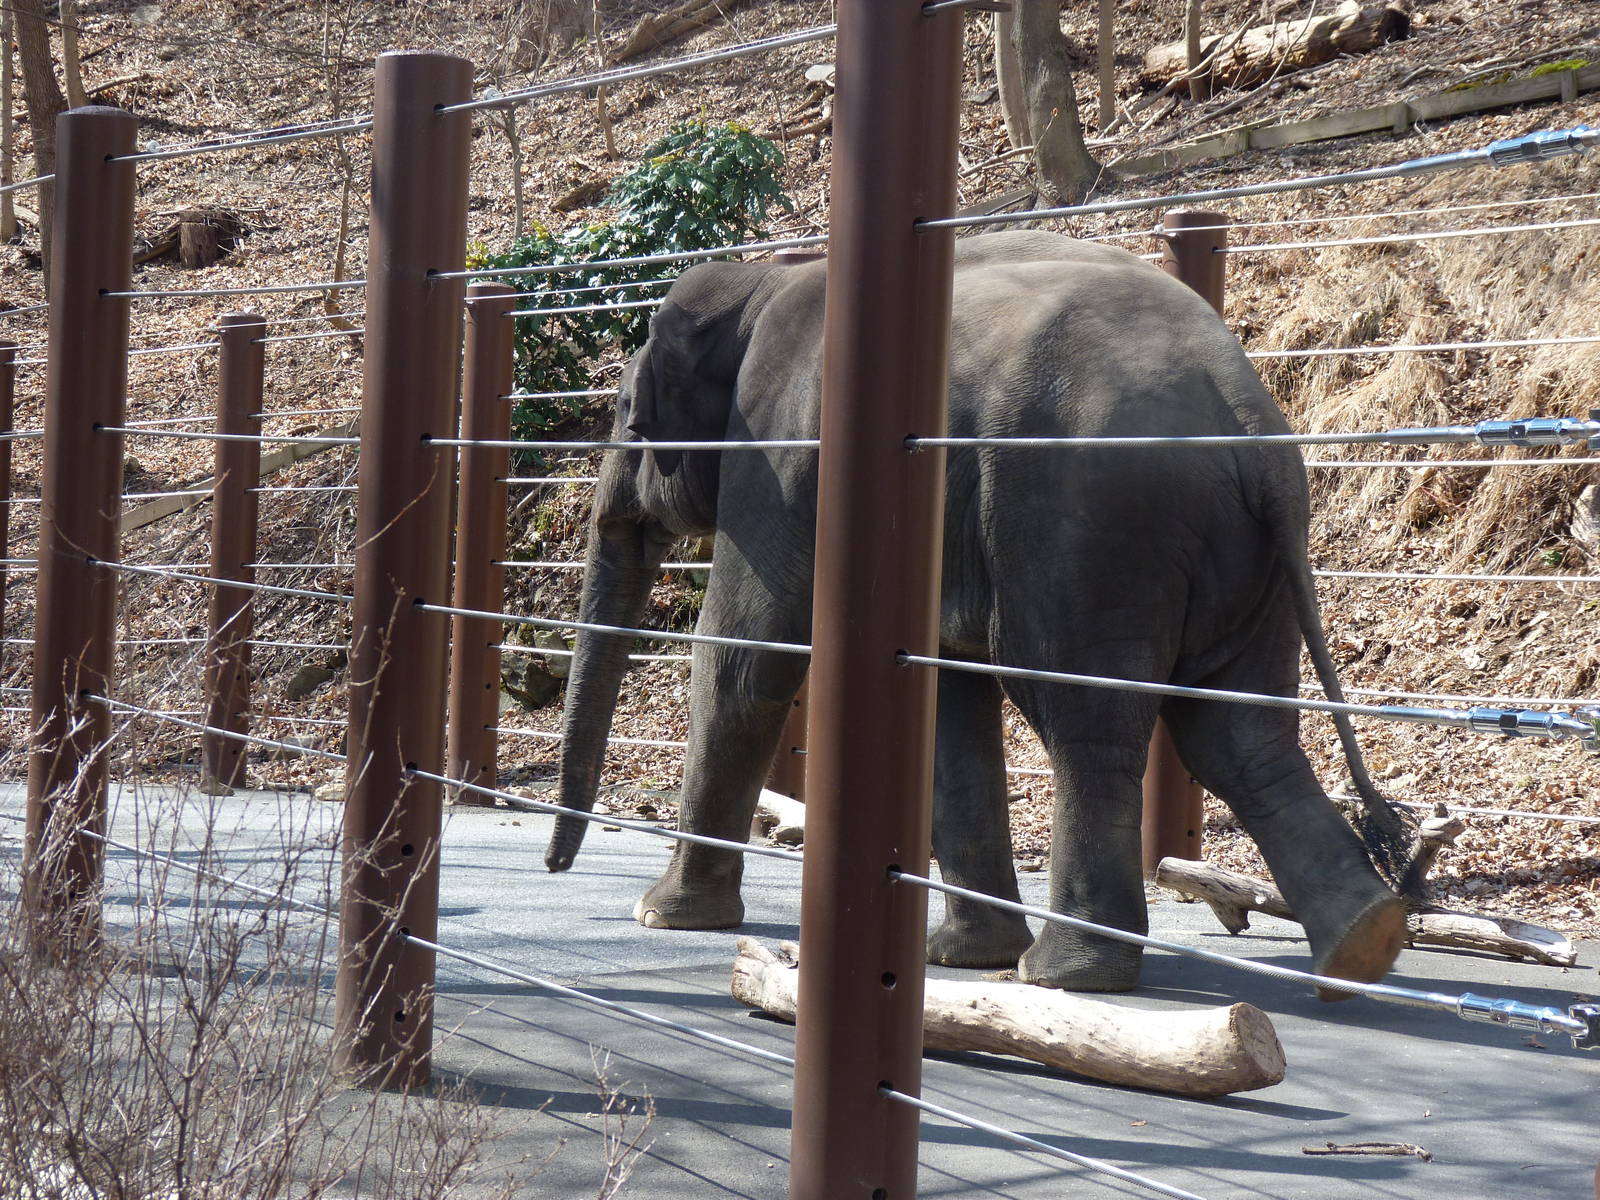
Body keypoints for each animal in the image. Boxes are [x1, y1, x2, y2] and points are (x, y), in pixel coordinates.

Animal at [544, 228, 1413, 993]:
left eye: (622, 410)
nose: (554, 867)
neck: (762, 278)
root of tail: (1244, 415)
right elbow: (943, 696)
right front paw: (961, 954)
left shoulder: (782, 455)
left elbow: (742, 656)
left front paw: (662, 917)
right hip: (1240, 557)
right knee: (1239, 736)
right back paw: (1362, 946)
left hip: (1086, 531)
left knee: (1087, 724)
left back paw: (1064, 975)